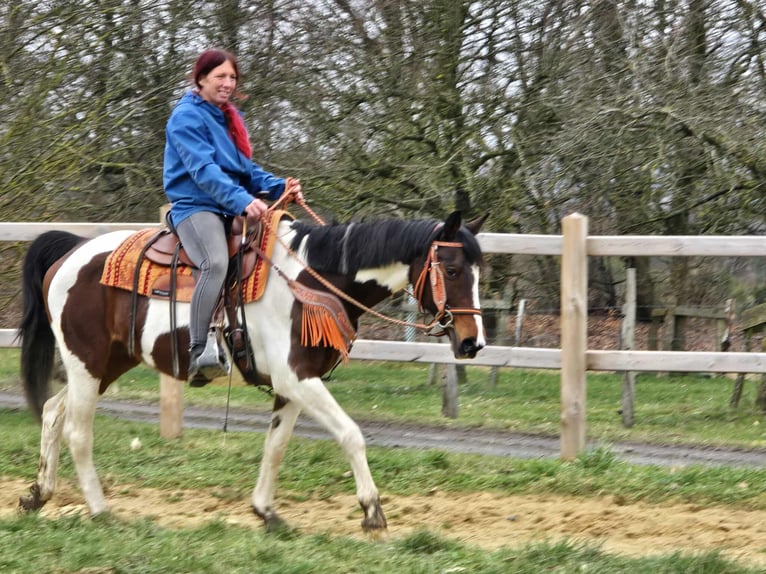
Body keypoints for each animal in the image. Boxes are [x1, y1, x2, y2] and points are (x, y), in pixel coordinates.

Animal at [17, 209, 486, 533]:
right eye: (452, 269)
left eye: (479, 273)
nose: (472, 343)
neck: (310, 282)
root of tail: (70, 251)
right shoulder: (299, 378)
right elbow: (351, 434)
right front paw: (372, 510)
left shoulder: (293, 385)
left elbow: (275, 446)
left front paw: (266, 511)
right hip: (87, 363)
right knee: (78, 431)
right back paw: (100, 509)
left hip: (105, 365)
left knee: (53, 412)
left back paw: (39, 494)